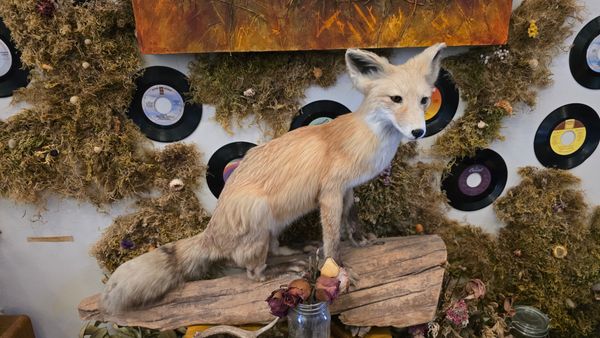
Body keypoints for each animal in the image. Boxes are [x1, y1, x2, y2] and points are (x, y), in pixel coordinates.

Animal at [102, 43, 446, 314]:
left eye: (424, 101)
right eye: (396, 99)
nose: (419, 131)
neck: (363, 139)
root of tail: (212, 232)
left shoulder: (346, 189)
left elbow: (352, 220)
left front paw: (362, 241)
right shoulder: (330, 193)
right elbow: (333, 238)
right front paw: (339, 269)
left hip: (276, 223)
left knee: (274, 248)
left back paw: (296, 252)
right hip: (257, 213)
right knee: (253, 272)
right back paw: (281, 269)